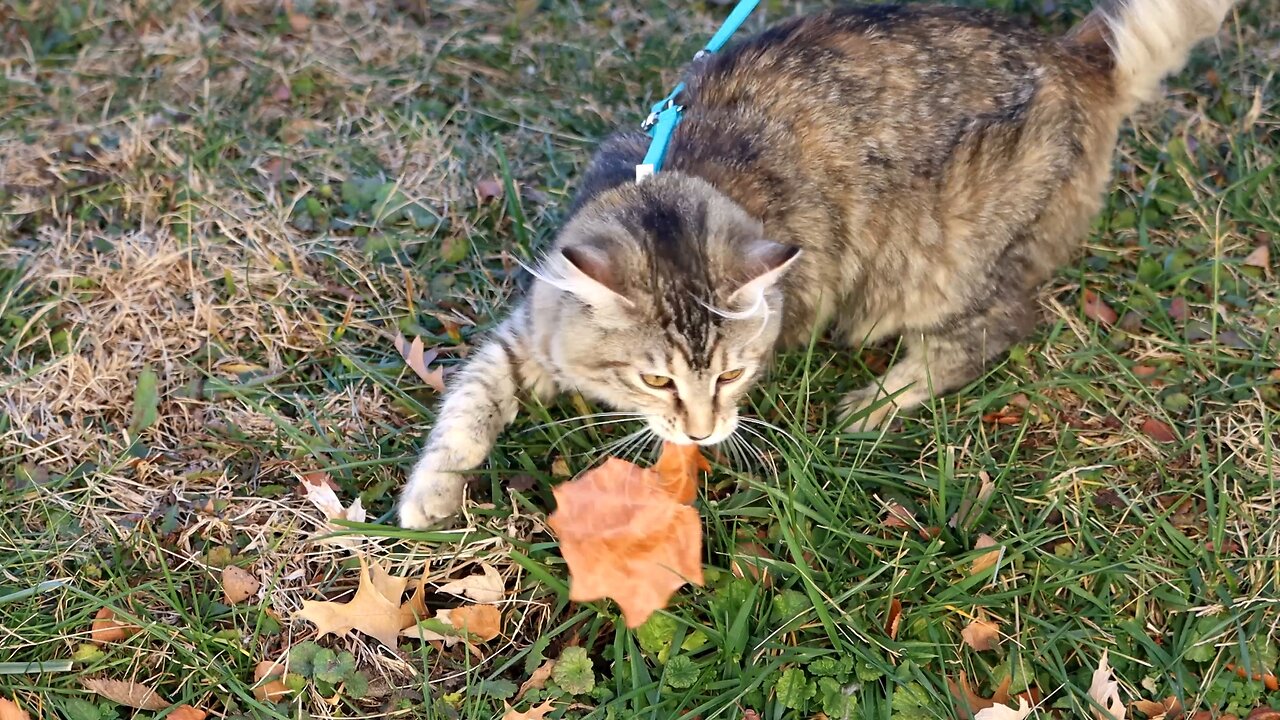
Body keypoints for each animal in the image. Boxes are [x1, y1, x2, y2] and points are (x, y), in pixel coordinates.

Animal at [396, 0, 1228, 527]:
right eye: (656, 380)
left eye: (732, 374)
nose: (703, 431)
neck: (677, 176)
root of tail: (1070, 54)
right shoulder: (530, 331)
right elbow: (470, 401)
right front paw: (430, 495)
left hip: (950, 262)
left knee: (988, 333)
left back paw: (876, 404)